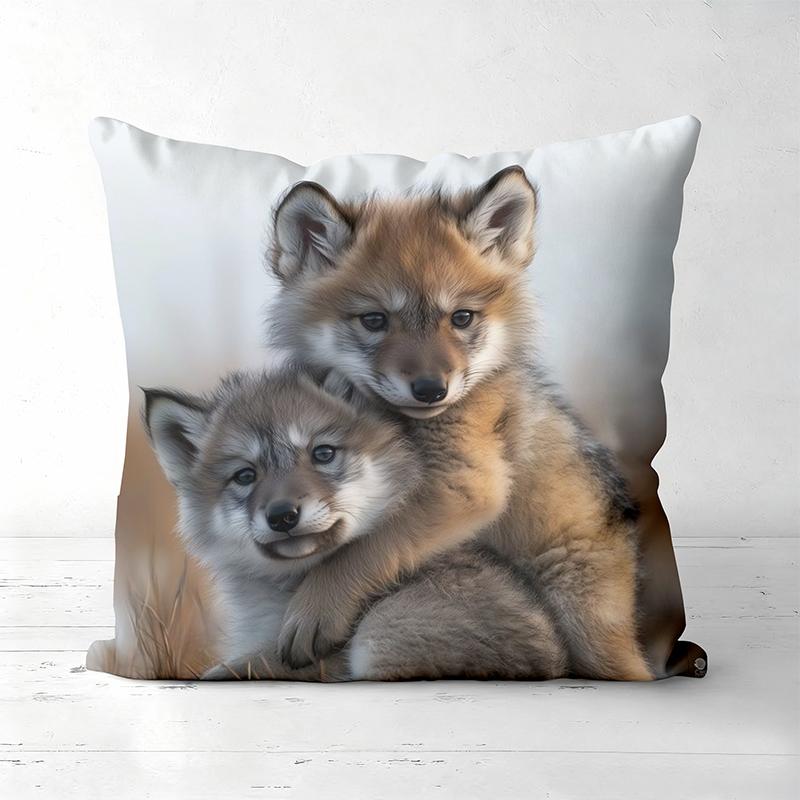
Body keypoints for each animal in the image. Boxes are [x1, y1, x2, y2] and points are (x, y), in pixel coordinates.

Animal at [268, 167, 653, 680]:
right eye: (374, 320)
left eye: (461, 318)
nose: (432, 389)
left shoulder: (465, 486)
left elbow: (361, 550)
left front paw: (312, 611)